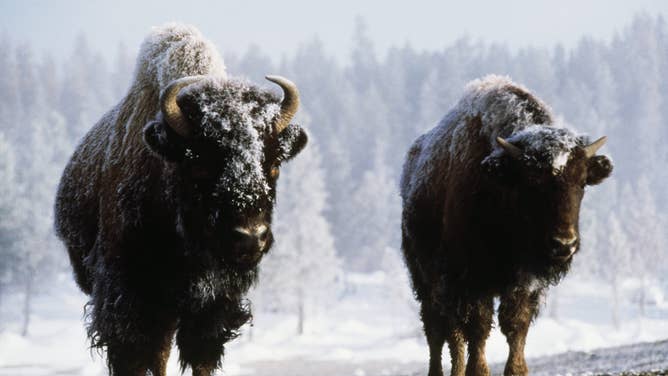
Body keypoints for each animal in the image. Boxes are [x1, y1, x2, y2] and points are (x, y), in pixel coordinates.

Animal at [52, 25, 308, 374]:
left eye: (274, 166)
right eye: (198, 165)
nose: (250, 237)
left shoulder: (211, 307)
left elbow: (200, 356)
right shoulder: (130, 302)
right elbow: (137, 356)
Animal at [400, 76, 612, 376]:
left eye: (582, 182)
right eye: (532, 183)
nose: (564, 244)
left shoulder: (525, 283)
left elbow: (516, 327)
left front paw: (517, 370)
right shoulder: (471, 280)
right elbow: (478, 327)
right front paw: (478, 370)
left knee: (452, 333)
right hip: (426, 279)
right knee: (438, 330)